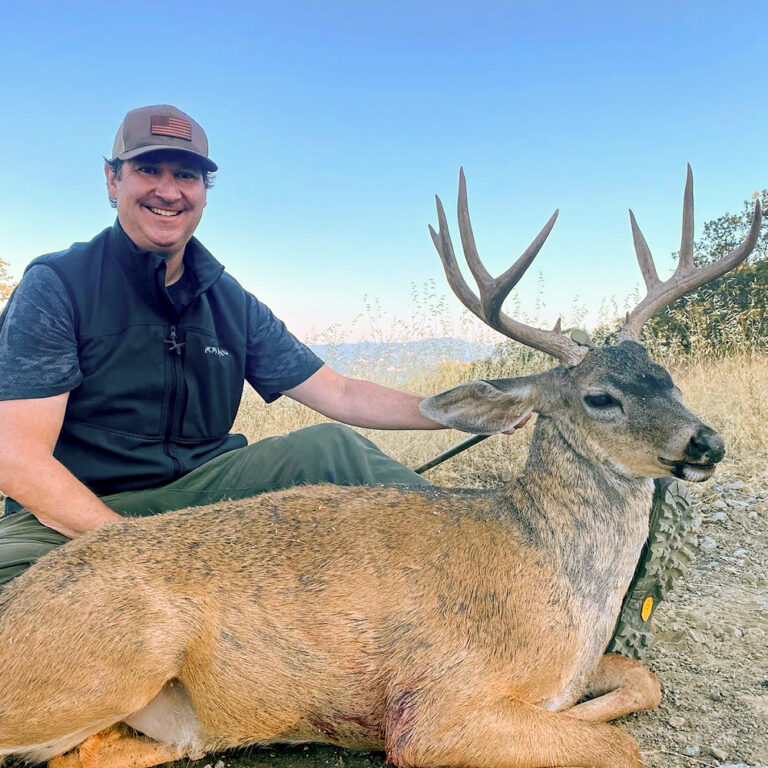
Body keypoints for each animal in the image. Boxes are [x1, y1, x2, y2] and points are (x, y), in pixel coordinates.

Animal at [0, 167, 761, 768]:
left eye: (666, 375)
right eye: (600, 397)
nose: (707, 444)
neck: (553, 578)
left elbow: (642, 681)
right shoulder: (436, 707)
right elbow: (620, 746)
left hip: (170, 716)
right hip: (122, 655)